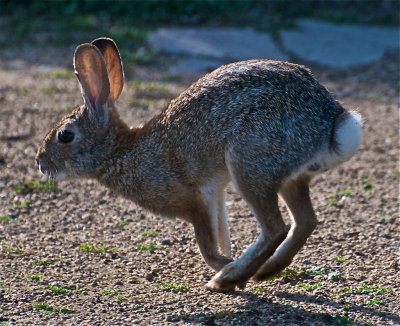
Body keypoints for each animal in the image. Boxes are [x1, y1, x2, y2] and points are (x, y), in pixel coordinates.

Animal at [36, 37, 362, 292]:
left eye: (65, 136)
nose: (40, 162)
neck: (117, 151)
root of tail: (329, 123)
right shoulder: (214, 193)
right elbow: (221, 230)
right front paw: (230, 260)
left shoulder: (193, 202)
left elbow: (207, 246)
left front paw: (225, 266)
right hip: (289, 178)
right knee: (305, 221)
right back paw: (266, 271)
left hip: (249, 162)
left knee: (275, 229)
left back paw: (229, 278)